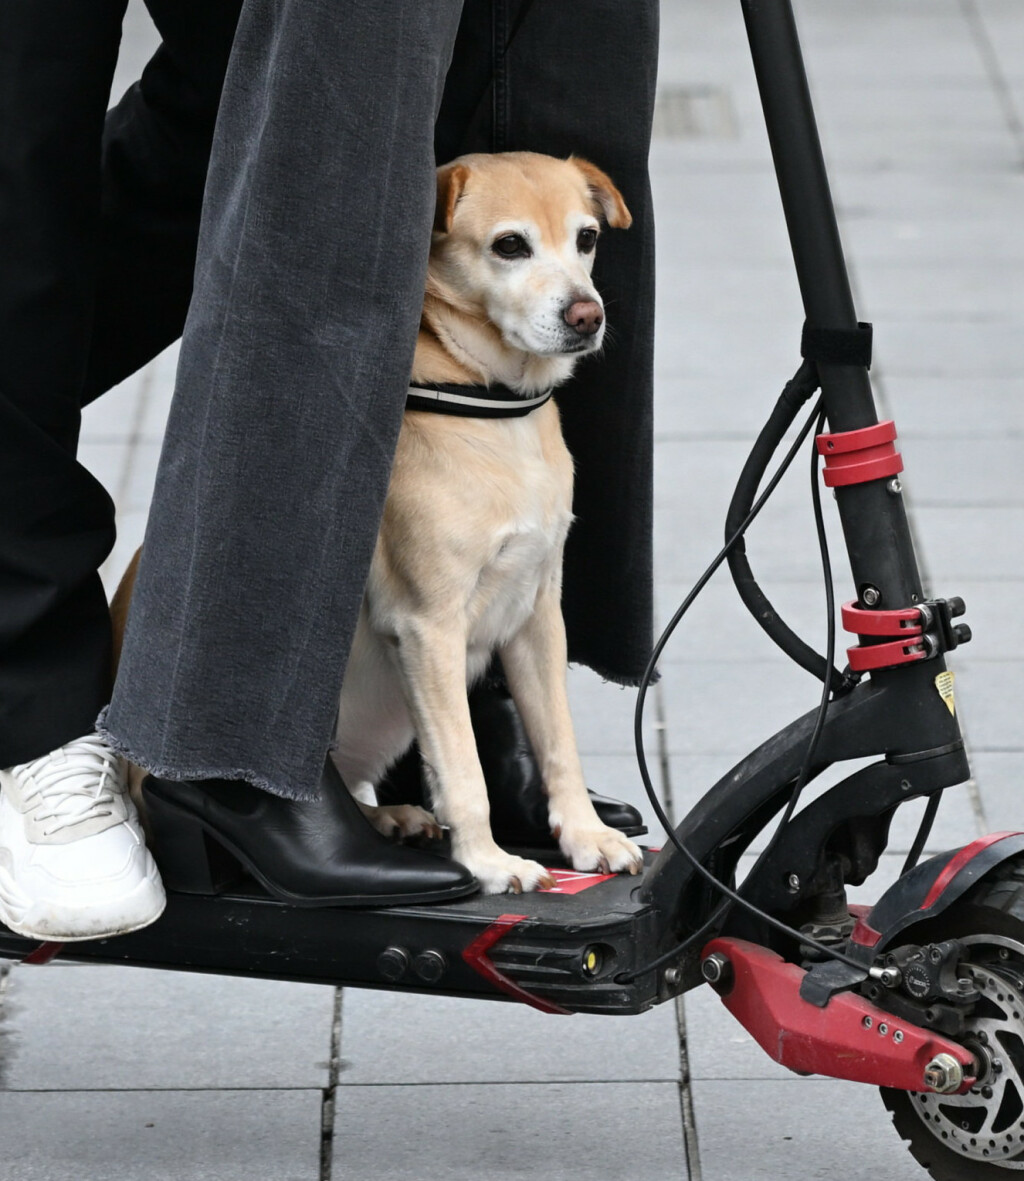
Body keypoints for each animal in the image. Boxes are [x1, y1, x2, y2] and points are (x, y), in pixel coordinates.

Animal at [112, 154, 642, 892]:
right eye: (510, 245)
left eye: (586, 237)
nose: (586, 315)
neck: (489, 407)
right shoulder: (428, 626)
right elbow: (463, 770)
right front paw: (488, 861)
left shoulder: (538, 614)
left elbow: (557, 741)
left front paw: (586, 835)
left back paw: (388, 818)